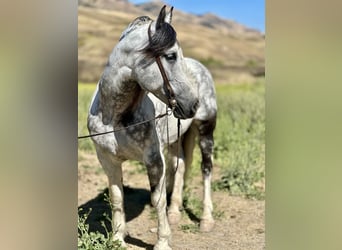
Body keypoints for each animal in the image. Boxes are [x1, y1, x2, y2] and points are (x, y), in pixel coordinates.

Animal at [87, 5, 216, 250]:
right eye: (171, 56)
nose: (193, 104)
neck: (115, 117)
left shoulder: (154, 159)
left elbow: (157, 199)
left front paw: (163, 242)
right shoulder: (107, 159)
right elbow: (116, 197)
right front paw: (117, 239)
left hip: (206, 129)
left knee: (206, 169)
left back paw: (206, 220)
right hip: (177, 138)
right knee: (180, 165)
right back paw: (174, 213)